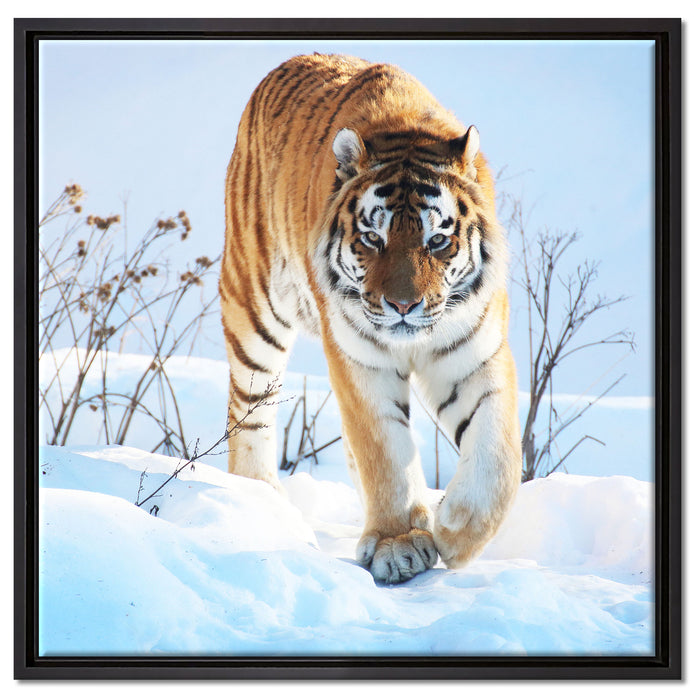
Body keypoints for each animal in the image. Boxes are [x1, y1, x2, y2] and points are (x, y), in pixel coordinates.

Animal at [219, 53, 521, 584]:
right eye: (372, 239)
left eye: (436, 241)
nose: (402, 306)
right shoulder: (360, 359)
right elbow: (384, 450)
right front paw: (398, 544)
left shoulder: (474, 354)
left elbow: (498, 454)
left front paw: (455, 530)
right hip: (253, 307)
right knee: (250, 409)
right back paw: (261, 501)